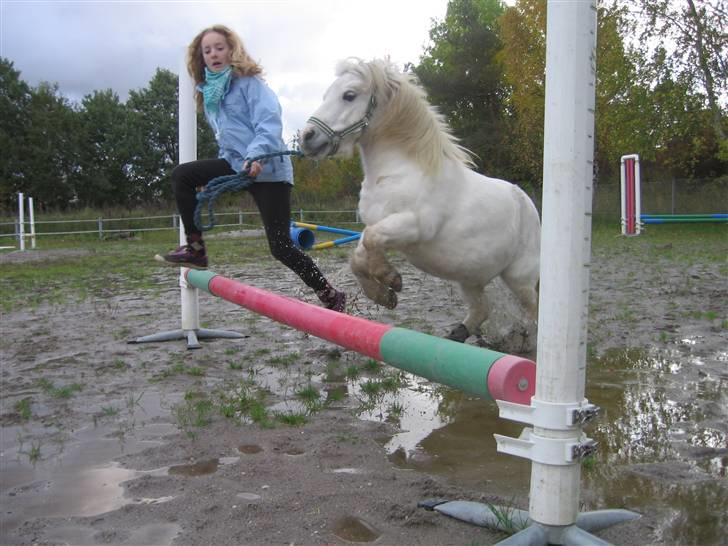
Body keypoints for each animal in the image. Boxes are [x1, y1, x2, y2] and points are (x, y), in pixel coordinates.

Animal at [299, 58, 540, 344]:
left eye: (349, 95)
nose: (307, 137)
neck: (400, 169)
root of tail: (526, 201)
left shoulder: (414, 226)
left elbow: (371, 240)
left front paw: (391, 279)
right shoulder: (378, 224)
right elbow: (358, 256)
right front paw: (385, 295)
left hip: (519, 277)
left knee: (532, 311)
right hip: (469, 276)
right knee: (482, 308)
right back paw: (456, 335)